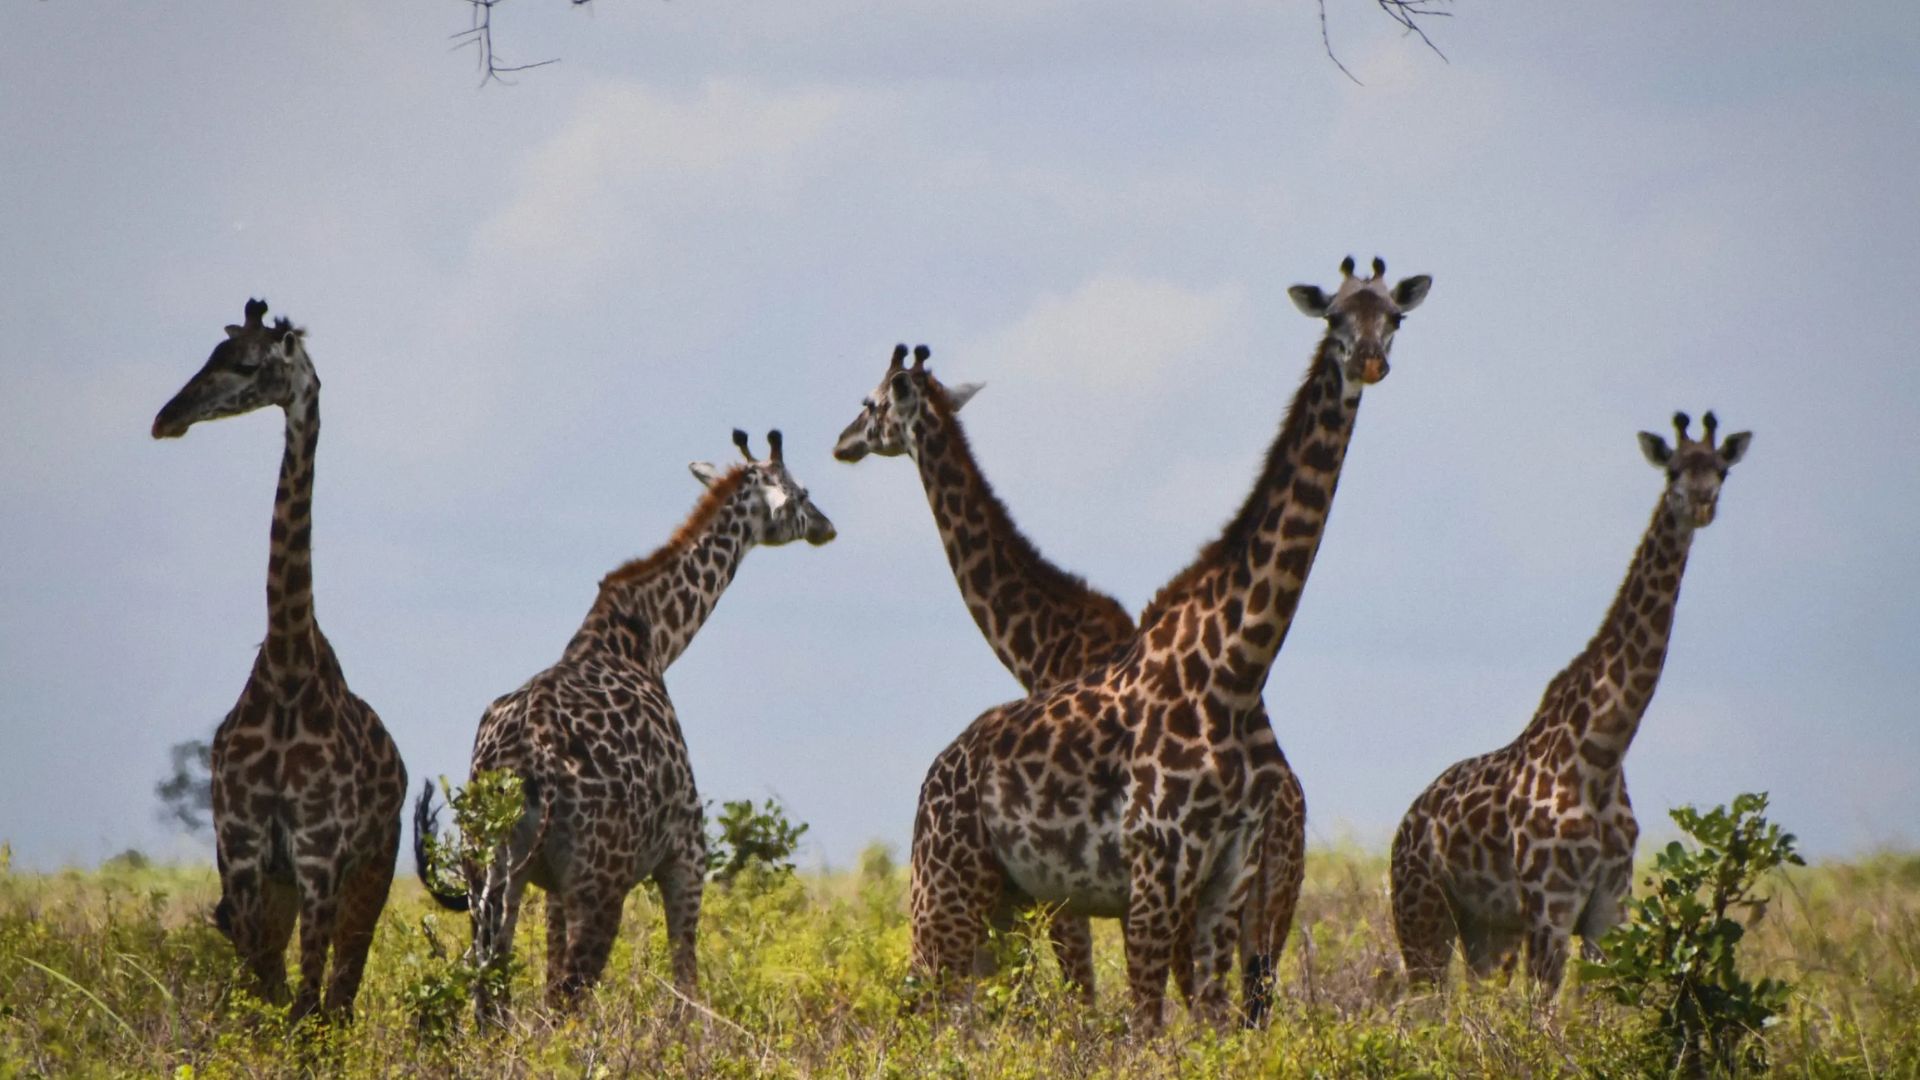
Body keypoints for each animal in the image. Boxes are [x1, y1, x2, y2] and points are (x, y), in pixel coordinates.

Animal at [154, 295, 412, 1014]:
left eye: (245, 364)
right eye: (208, 354)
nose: (166, 418)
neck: (290, 665)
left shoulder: (321, 854)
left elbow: (305, 1002)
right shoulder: (242, 852)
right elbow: (261, 998)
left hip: (371, 867)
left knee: (341, 996)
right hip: (281, 885)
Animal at [416, 426, 837, 1014]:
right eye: (802, 493)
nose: (827, 526)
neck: (649, 639)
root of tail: (522, 764)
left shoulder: (554, 888)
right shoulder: (687, 852)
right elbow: (687, 987)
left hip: (492, 873)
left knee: (492, 990)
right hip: (601, 883)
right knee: (566, 998)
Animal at [833, 342, 1313, 1014]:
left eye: (870, 404)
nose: (842, 442)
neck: (1040, 641)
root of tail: (1286, 802)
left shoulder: (1067, 880)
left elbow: (1079, 991)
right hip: (1272, 905)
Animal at [910, 255, 1428, 1022]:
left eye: (1393, 317)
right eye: (1335, 316)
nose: (1368, 360)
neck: (1235, 666)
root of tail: (933, 776)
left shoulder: (1222, 879)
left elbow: (1207, 1023)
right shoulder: (1154, 874)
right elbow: (1140, 1026)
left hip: (1002, 902)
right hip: (943, 892)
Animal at [1397, 409, 1758, 991]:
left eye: (1722, 470)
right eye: (1673, 470)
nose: (1703, 503)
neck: (1604, 752)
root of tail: (1407, 822)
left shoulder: (1609, 908)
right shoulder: (1551, 906)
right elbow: (1545, 1011)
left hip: (1486, 930)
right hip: (1423, 916)